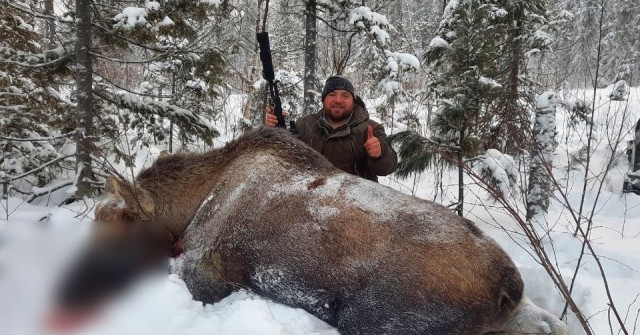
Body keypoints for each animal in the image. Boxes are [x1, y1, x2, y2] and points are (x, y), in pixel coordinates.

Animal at [52, 127, 568, 334]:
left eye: (120, 238)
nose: (62, 300)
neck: (193, 201)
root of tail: (508, 286)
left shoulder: (205, 275)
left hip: (373, 322)